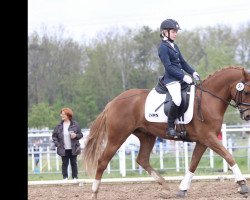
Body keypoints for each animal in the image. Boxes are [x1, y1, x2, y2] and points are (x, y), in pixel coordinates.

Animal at [83, 66, 249, 199]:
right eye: (247, 92)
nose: (247, 116)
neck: (209, 100)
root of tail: (112, 103)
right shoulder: (208, 137)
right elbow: (228, 156)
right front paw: (242, 184)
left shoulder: (203, 140)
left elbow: (193, 164)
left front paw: (182, 189)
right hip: (117, 137)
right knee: (102, 161)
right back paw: (94, 192)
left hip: (147, 136)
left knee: (142, 159)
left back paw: (165, 185)